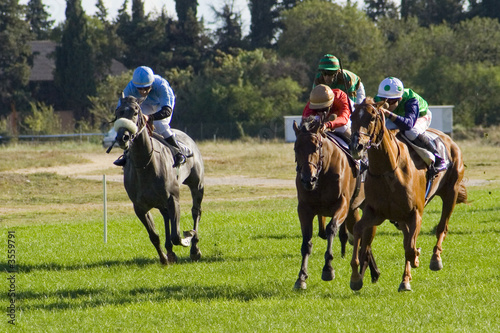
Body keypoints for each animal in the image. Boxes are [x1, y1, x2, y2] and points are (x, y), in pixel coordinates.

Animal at [112, 94, 204, 264]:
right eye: (117, 112)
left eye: (135, 112)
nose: (123, 137)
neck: (144, 166)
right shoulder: (139, 207)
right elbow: (154, 235)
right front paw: (164, 259)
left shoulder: (173, 198)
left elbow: (177, 235)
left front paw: (188, 237)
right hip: (161, 202)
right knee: (166, 216)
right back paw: (170, 252)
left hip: (197, 184)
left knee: (196, 212)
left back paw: (194, 249)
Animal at [292, 116, 378, 288]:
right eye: (296, 148)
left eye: (316, 147)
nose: (308, 179)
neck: (322, 174)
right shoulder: (304, 209)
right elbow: (306, 241)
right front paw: (301, 277)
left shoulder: (342, 204)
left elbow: (331, 228)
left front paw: (328, 268)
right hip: (353, 210)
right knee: (360, 233)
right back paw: (372, 271)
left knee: (367, 236)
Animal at [348, 98, 468, 290]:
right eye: (352, 117)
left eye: (372, 117)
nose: (355, 147)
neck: (388, 171)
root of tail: (449, 140)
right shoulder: (375, 212)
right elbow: (358, 230)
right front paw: (355, 277)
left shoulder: (415, 213)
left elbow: (411, 248)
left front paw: (417, 258)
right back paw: (405, 280)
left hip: (451, 191)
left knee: (442, 227)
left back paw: (435, 259)